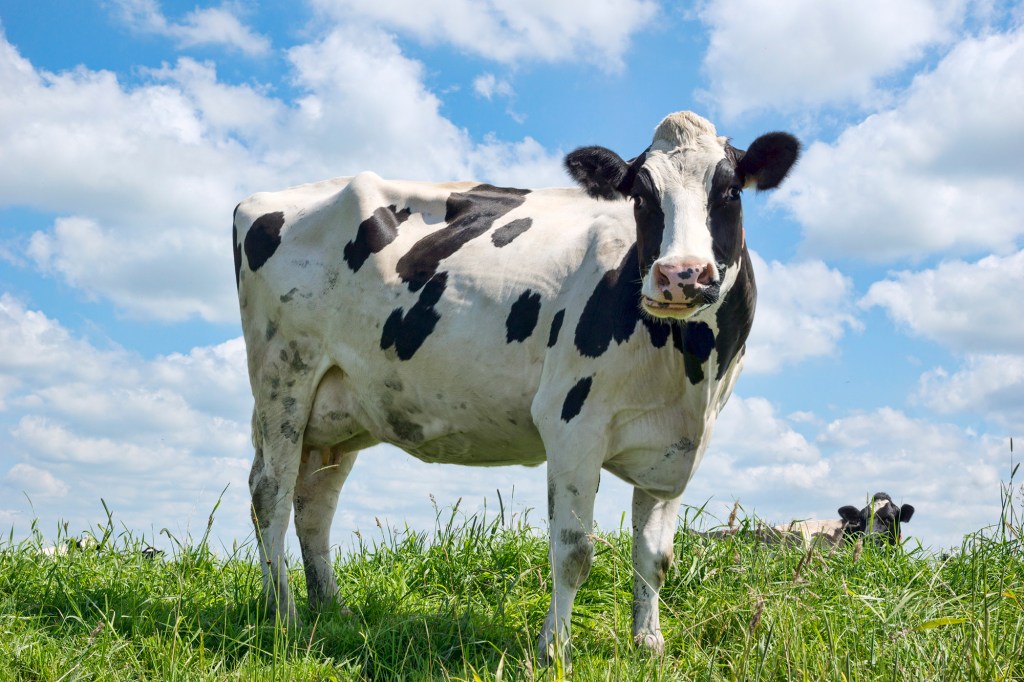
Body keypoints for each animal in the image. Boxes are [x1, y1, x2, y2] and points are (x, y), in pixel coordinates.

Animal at [234, 111, 798, 659]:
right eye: (641, 195)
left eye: (731, 191)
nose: (681, 275)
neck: (689, 371)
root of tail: (261, 198)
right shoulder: (572, 423)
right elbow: (574, 549)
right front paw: (555, 648)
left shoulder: (675, 448)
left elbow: (655, 557)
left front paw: (649, 643)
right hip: (284, 376)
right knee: (270, 494)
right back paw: (282, 614)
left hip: (339, 409)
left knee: (314, 502)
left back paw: (331, 610)